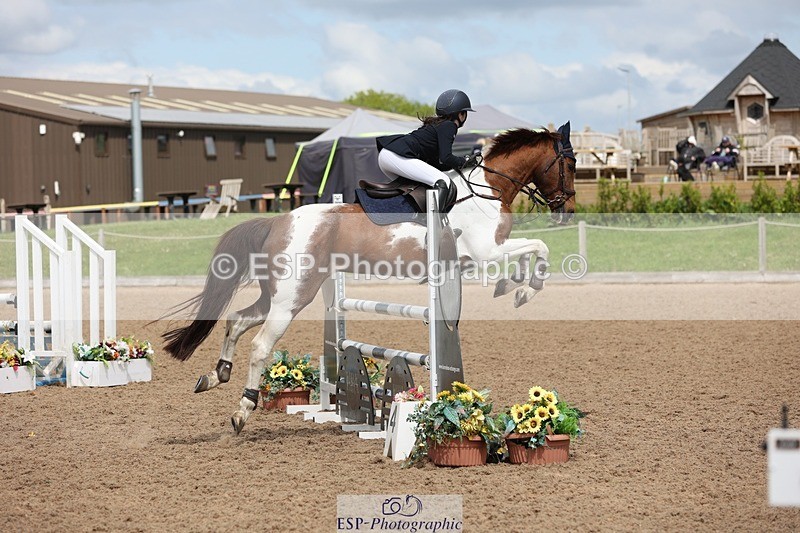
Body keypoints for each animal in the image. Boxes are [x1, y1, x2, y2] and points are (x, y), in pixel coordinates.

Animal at [163, 123, 577, 434]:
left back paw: (215, 376)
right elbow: (538, 247)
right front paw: (522, 291)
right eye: (570, 163)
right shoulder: (486, 252)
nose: (568, 209)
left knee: (236, 321)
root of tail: (278, 221)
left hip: (279, 294)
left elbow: (533, 250)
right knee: (261, 345)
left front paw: (516, 286)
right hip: (291, 298)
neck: (486, 189)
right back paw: (241, 411)